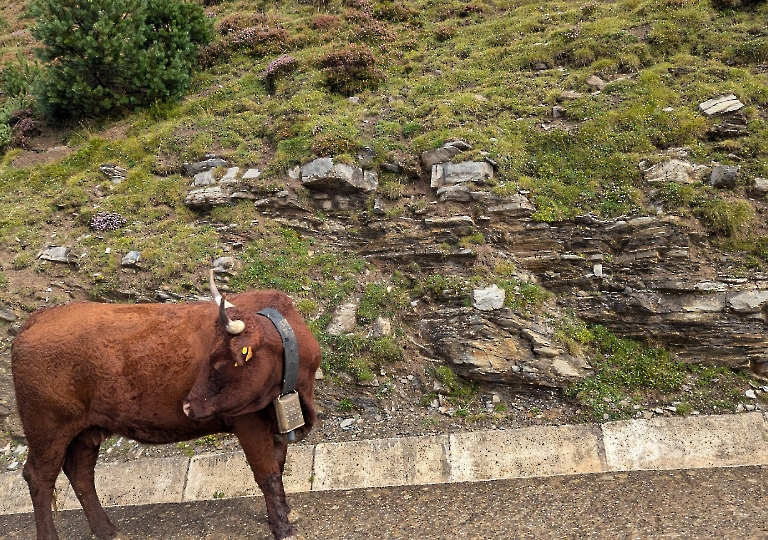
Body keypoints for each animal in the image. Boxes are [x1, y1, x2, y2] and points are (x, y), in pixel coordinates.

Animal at [10, 272, 320, 536]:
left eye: (220, 362)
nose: (188, 407)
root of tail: (39, 318)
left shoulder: (275, 422)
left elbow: (279, 466)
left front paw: (285, 514)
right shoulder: (249, 422)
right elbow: (268, 474)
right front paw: (282, 528)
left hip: (85, 431)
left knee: (80, 474)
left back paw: (107, 530)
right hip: (47, 429)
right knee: (39, 477)